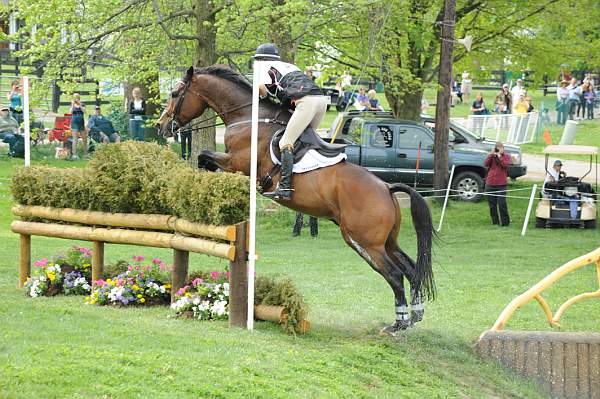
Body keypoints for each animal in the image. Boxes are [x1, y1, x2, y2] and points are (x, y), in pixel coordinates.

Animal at [157, 65, 434, 334]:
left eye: (174, 94)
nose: (161, 126)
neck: (247, 117)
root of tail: (387, 188)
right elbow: (203, 160)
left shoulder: (237, 164)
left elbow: (204, 156)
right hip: (386, 242)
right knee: (411, 269)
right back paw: (416, 315)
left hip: (364, 242)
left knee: (395, 275)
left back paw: (398, 324)